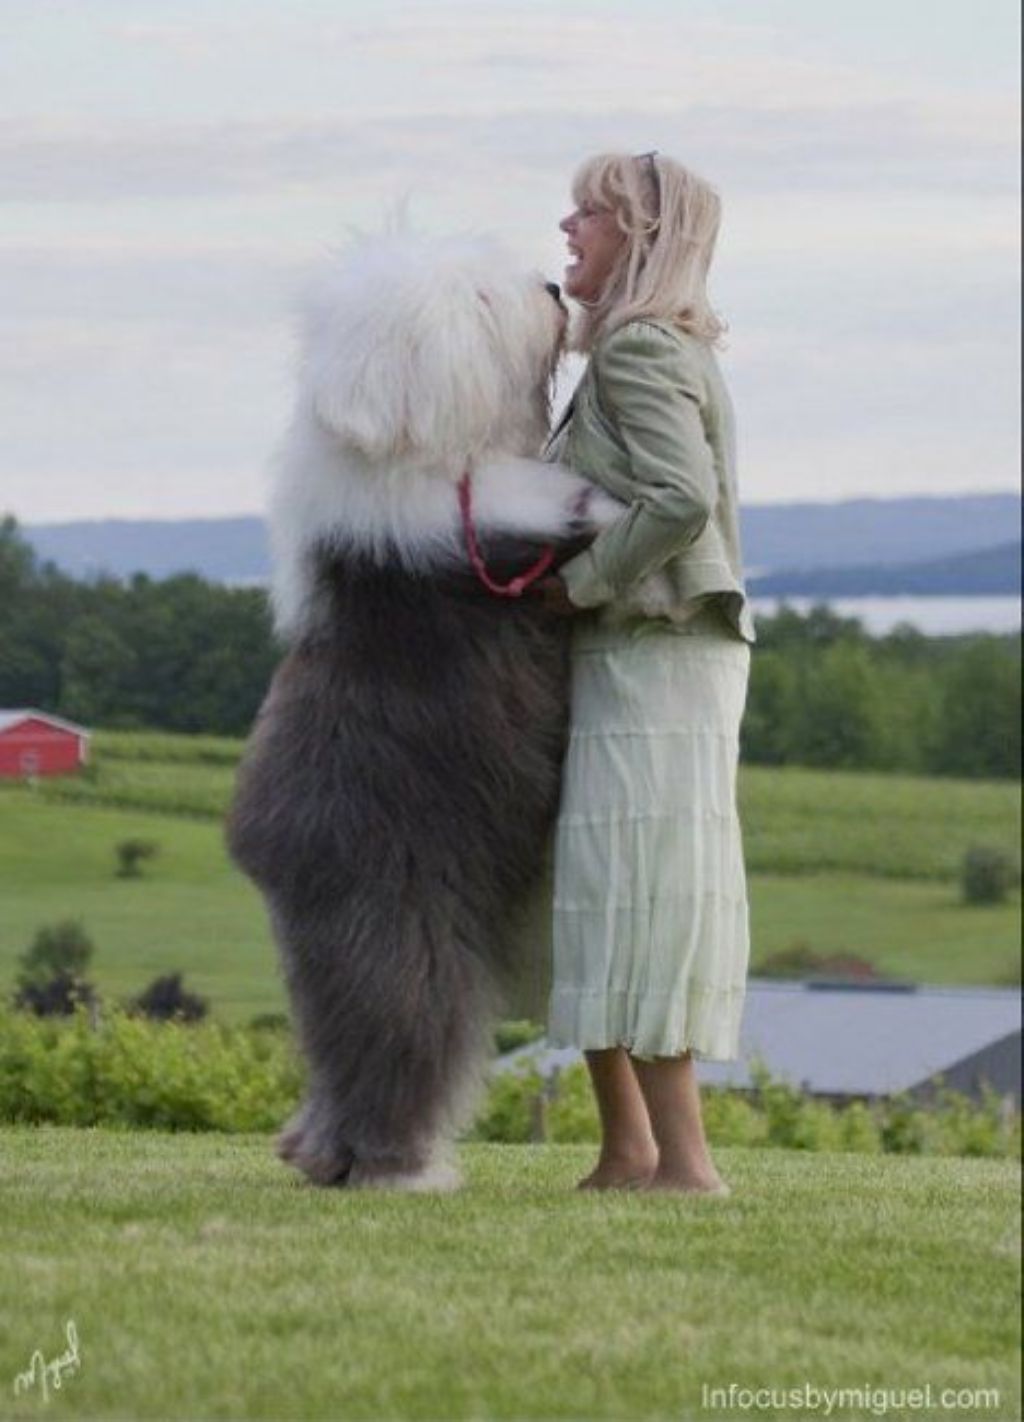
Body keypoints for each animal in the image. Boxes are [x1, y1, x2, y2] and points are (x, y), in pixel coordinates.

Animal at [227, 233, 617, 1188]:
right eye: (476, 302)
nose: (551, 288)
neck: (432, 455)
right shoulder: (475, 530)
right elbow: (548, 504)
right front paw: (598, 500)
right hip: (398, 911)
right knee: (402, 1029)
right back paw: (400, 1164)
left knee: (336, 1045)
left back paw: (317, 1151)